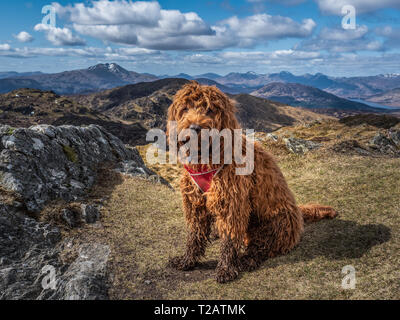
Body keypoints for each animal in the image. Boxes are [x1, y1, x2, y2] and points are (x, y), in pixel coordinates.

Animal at [166, 81, 338, 284]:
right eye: (185, 108)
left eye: (209, 109)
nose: (194, 127)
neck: (207, 158)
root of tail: (298, 214)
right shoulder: (195, 202)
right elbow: (195, 234)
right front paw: (187, 260)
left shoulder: (232, 202)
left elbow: (230, 239)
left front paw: (226, 268)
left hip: (273, 224)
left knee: (262, 248)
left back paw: (247, 259)